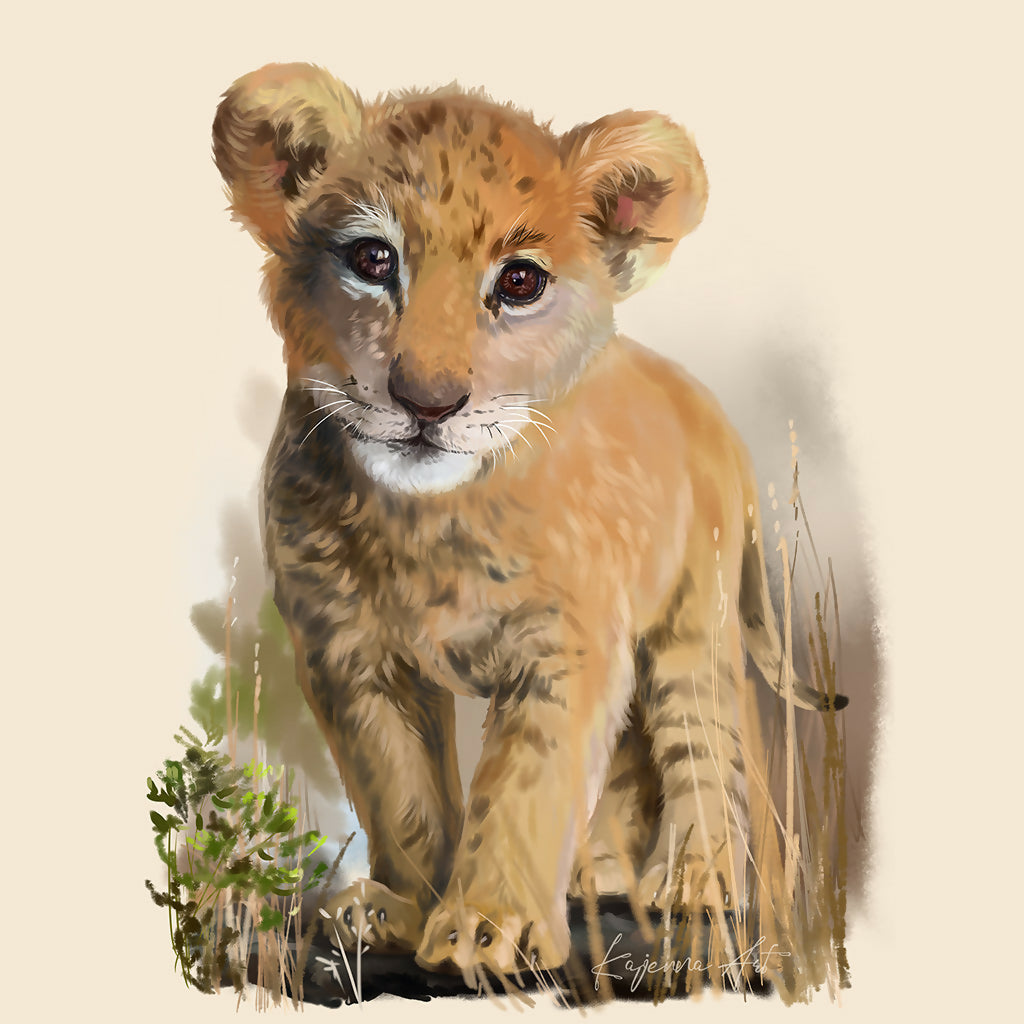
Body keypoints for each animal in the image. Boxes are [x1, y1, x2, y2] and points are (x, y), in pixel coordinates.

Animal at [212, 62, 845, 977]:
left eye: (519, 282)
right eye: (372, 258)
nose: (428, 402)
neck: (425, 520)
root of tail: (704, 403)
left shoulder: (565, 644)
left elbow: (528, 785)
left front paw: (489, 925)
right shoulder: (350, 655)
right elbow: (400, 793)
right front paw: (400, 909)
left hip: (693, 620)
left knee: (704, 736)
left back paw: (697, 879)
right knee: (631, 753)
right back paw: (603, 870)